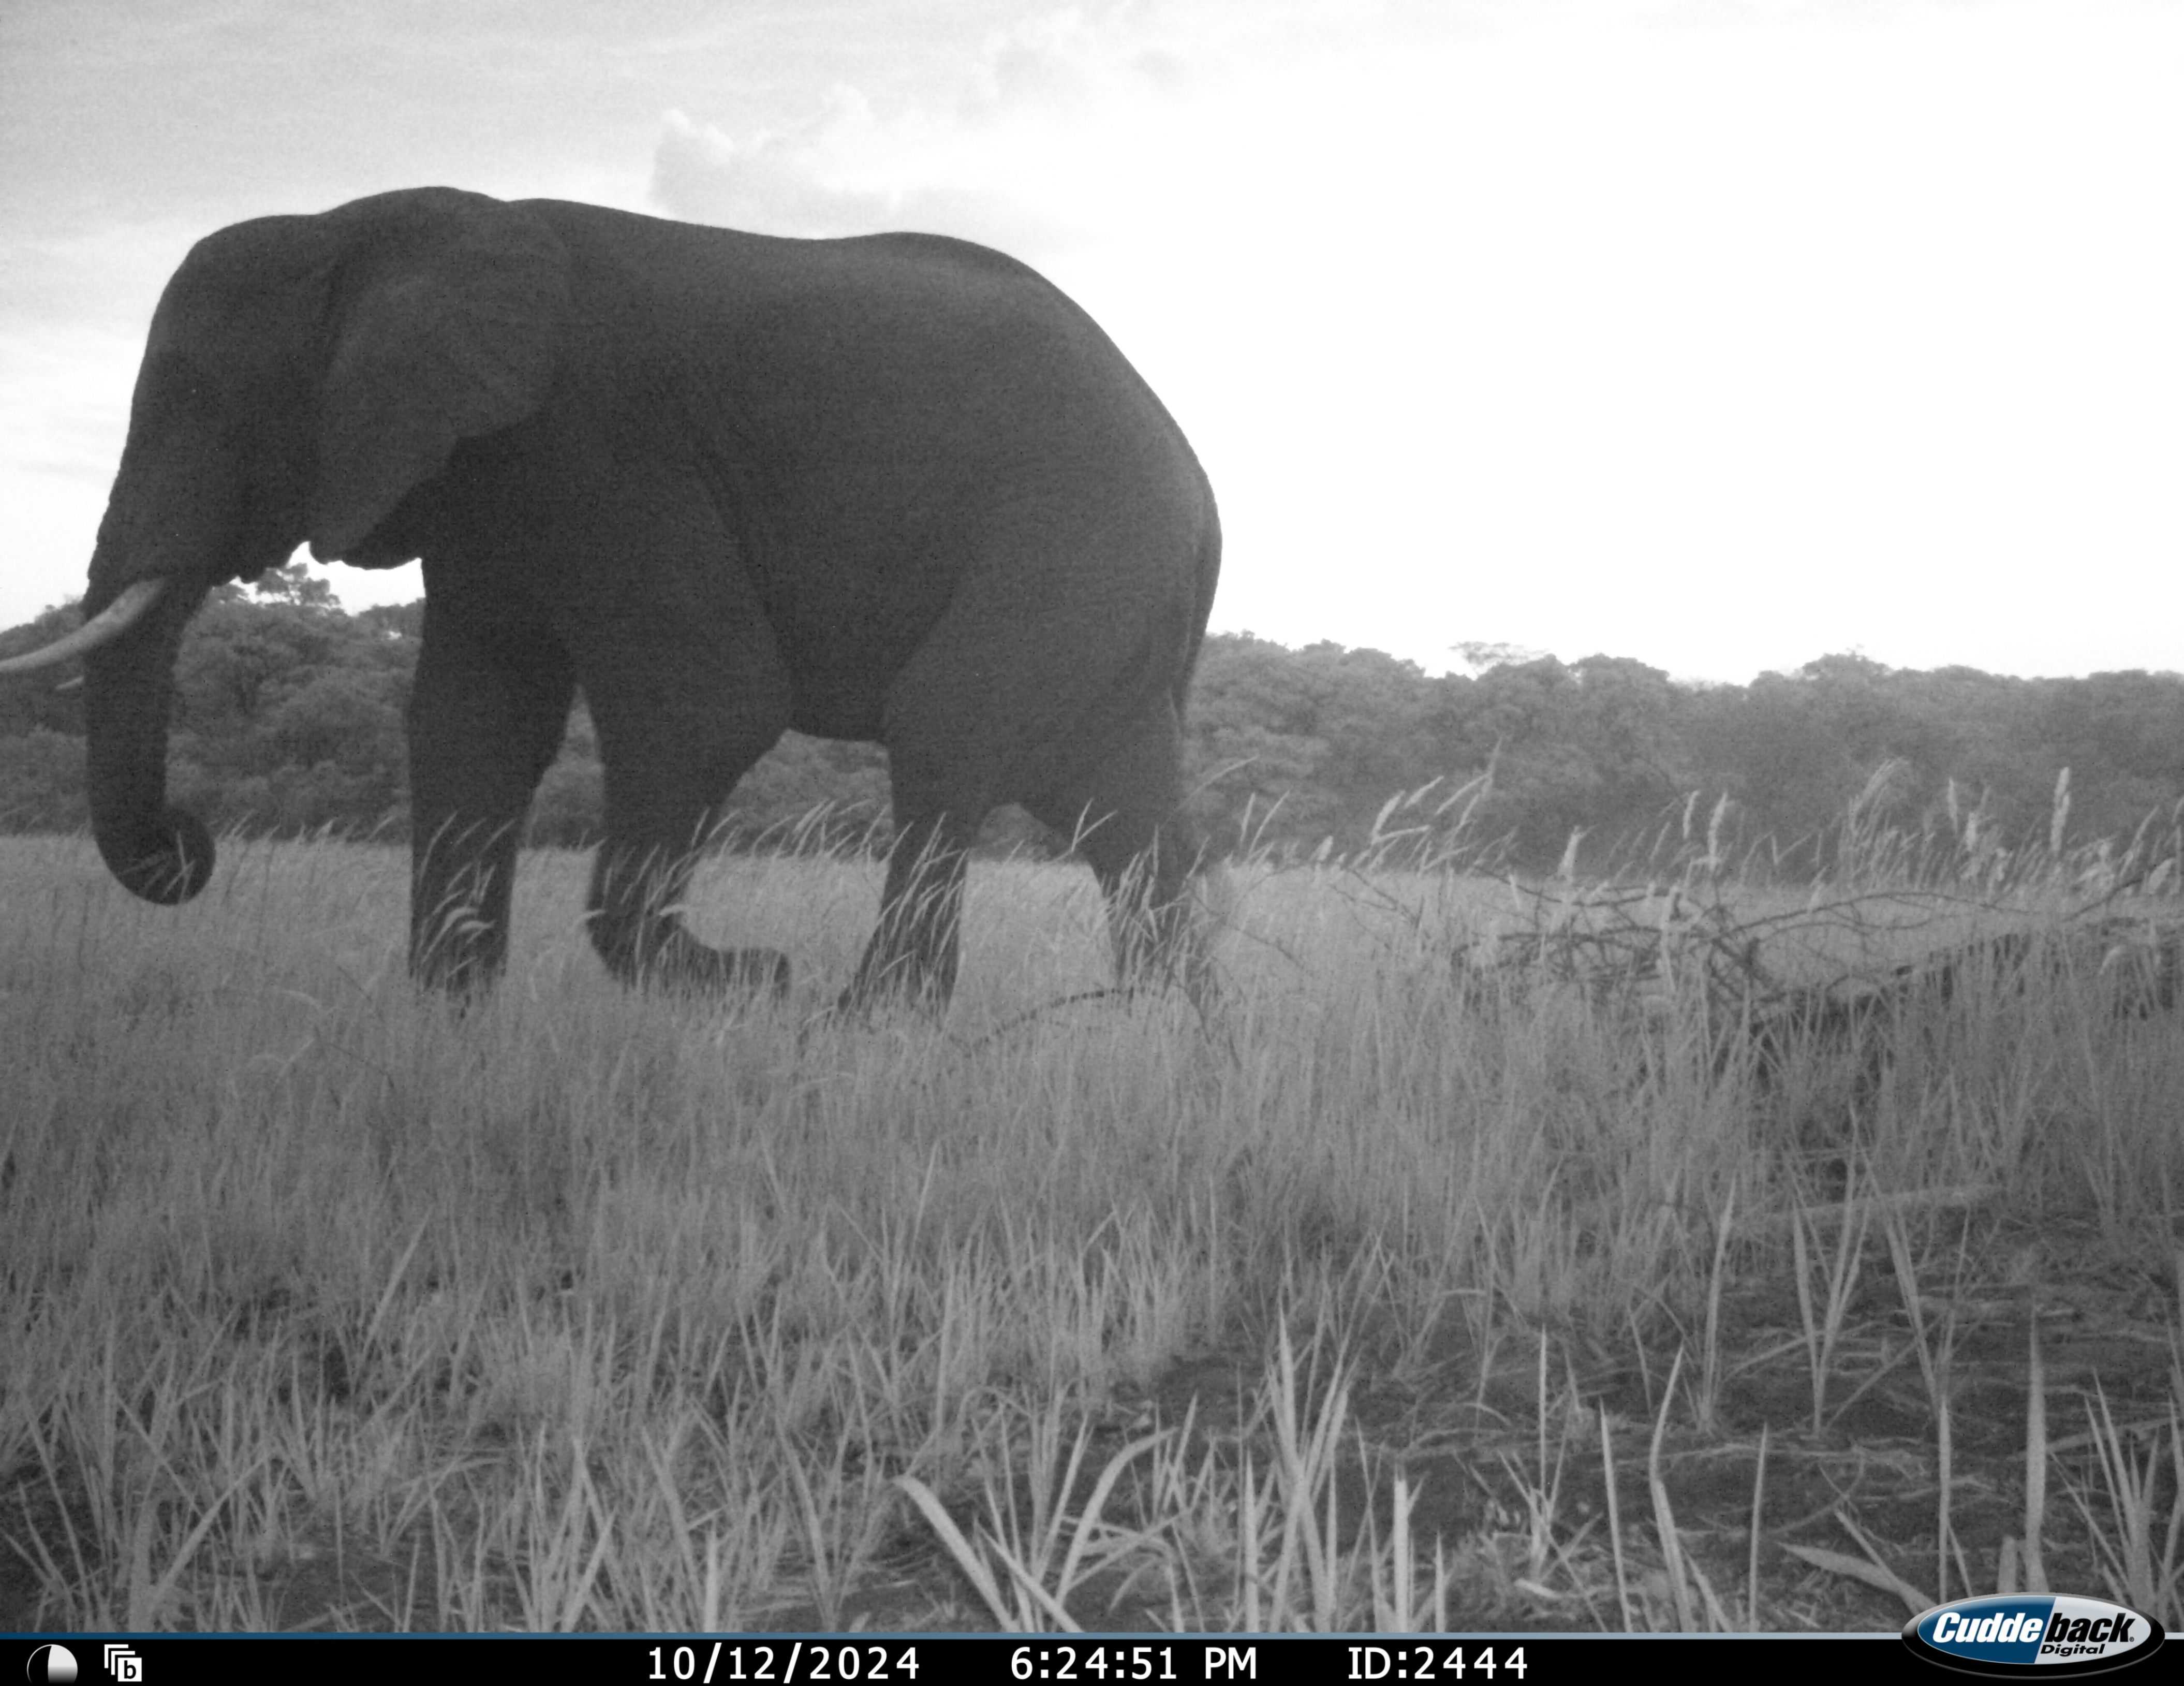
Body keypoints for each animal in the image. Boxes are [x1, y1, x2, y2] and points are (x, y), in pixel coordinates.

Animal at [0, 187, 1223, 1000]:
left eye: (207, 402)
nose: (192, 844)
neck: (361, 226)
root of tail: (1194, 476)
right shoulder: (480, 483)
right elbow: (472, 720)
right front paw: (450, 1024)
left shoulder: (603, 441)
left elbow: (708, 700)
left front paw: (748, 980)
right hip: (1112, 583)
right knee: (1117, 800)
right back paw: (1167, 1037)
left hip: (1074, 536)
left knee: (946, 732)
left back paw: (870, 1025)